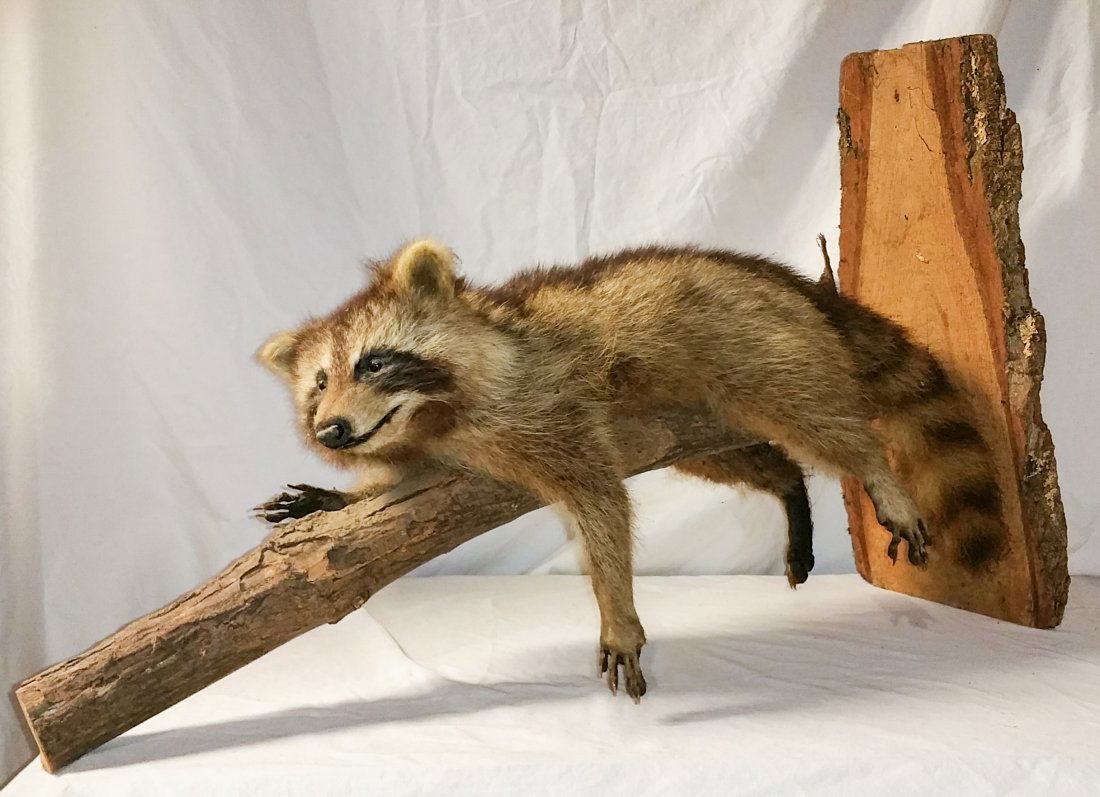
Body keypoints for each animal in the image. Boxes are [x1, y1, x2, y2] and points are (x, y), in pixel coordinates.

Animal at [256, 240, 1005, 701]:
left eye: (374, 362)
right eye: (317, 385)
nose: (330, 431)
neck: (435, 416)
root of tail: (788, 281)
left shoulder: (549, 407)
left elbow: (599, 500)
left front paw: (618, 608)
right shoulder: (438, 449)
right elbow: (399, 485)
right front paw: (335, 497)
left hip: (766, 351)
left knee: (821, 420)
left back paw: (875, 471)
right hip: (691, 424)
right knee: (751, 460)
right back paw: (788, 487)